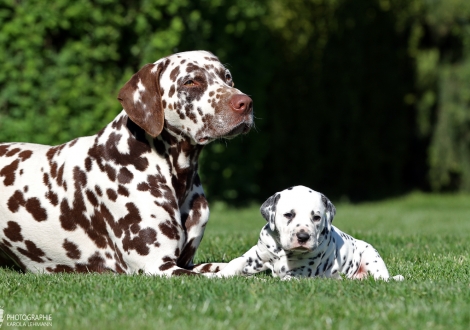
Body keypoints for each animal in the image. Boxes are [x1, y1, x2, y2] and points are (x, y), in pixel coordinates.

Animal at [0, 49, 253, 276]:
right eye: (190, 81)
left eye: (227, 77)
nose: (246, 102)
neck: (178, 178)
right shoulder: (158, 267)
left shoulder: (187, 263)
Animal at [217, 186, 404, 282]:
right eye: (288, 215)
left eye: (316, 217)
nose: (303, 237)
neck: (282, 252)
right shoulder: (256, 257)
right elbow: (236, 262)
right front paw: (216, 275)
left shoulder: (303, 270)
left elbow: (288, 277)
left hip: (371, 257)